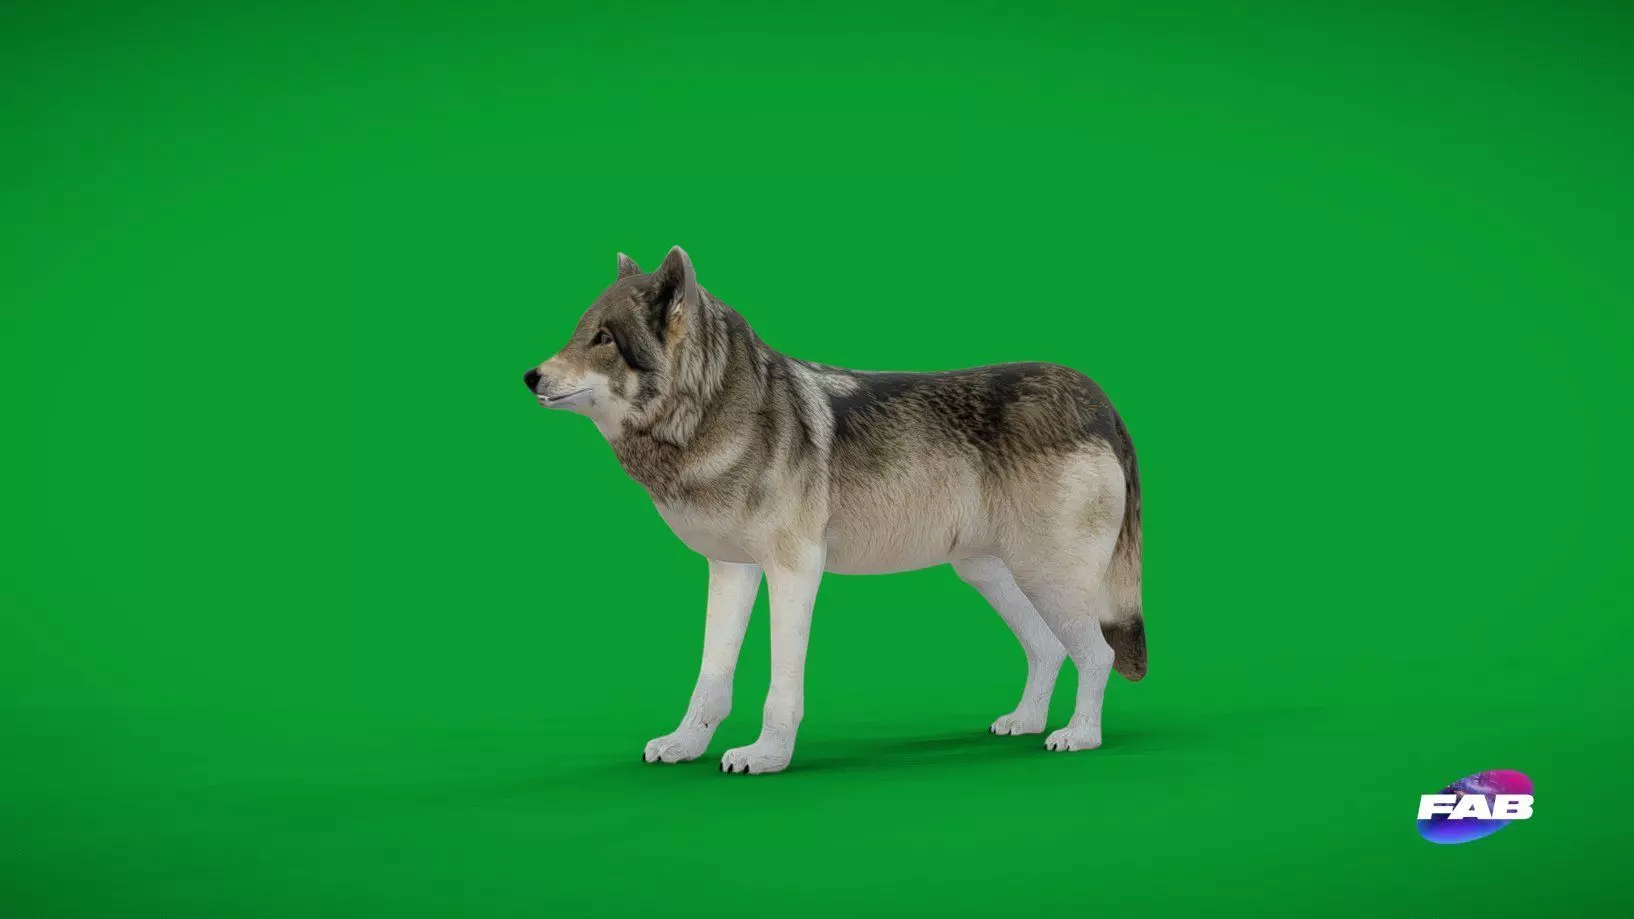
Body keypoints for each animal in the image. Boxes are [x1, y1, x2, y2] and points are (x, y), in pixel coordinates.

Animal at [523, 247, 1144, 775]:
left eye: (604, 338)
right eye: (579, 331)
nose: (530, 376)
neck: (712, 415)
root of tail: (1100, 400)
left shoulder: (795, 572)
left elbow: (781, 687)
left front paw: (766, 756)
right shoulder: (731, 571)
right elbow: (710, 679)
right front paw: (685, 745)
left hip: (1048, 579)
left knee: (1096, 654)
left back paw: (1079, 736)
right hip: (991, 574)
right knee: (1047, 648)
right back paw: (1025, 722)